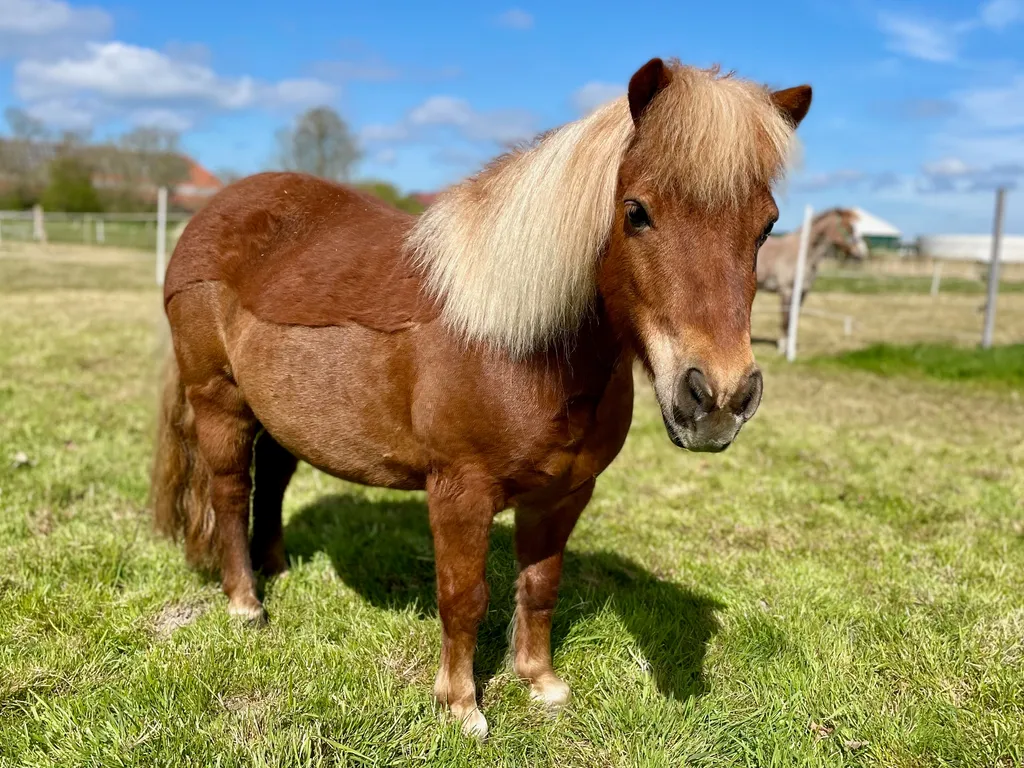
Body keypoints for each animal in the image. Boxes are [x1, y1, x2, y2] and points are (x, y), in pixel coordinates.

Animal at [150, 57, 811, 739]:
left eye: (767, 225)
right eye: (636, 211)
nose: (719, 398)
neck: (516, 345)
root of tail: (208, 217)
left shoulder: (564, 494)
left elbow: (540, 585)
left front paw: (540, 682)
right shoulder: (459, 493)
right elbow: (463, 597)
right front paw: (461, 705)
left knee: (275, 480)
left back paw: (277, 567)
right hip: (220, 403)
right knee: (231, 492)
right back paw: (246, 603)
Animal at [755, 207, 866, 343]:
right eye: (849, 227)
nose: (861, 253)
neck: (804, 255)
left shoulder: (803, 292)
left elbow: (794, 319)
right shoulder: (787, 291)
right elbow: (786, 320)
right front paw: (783, 346)